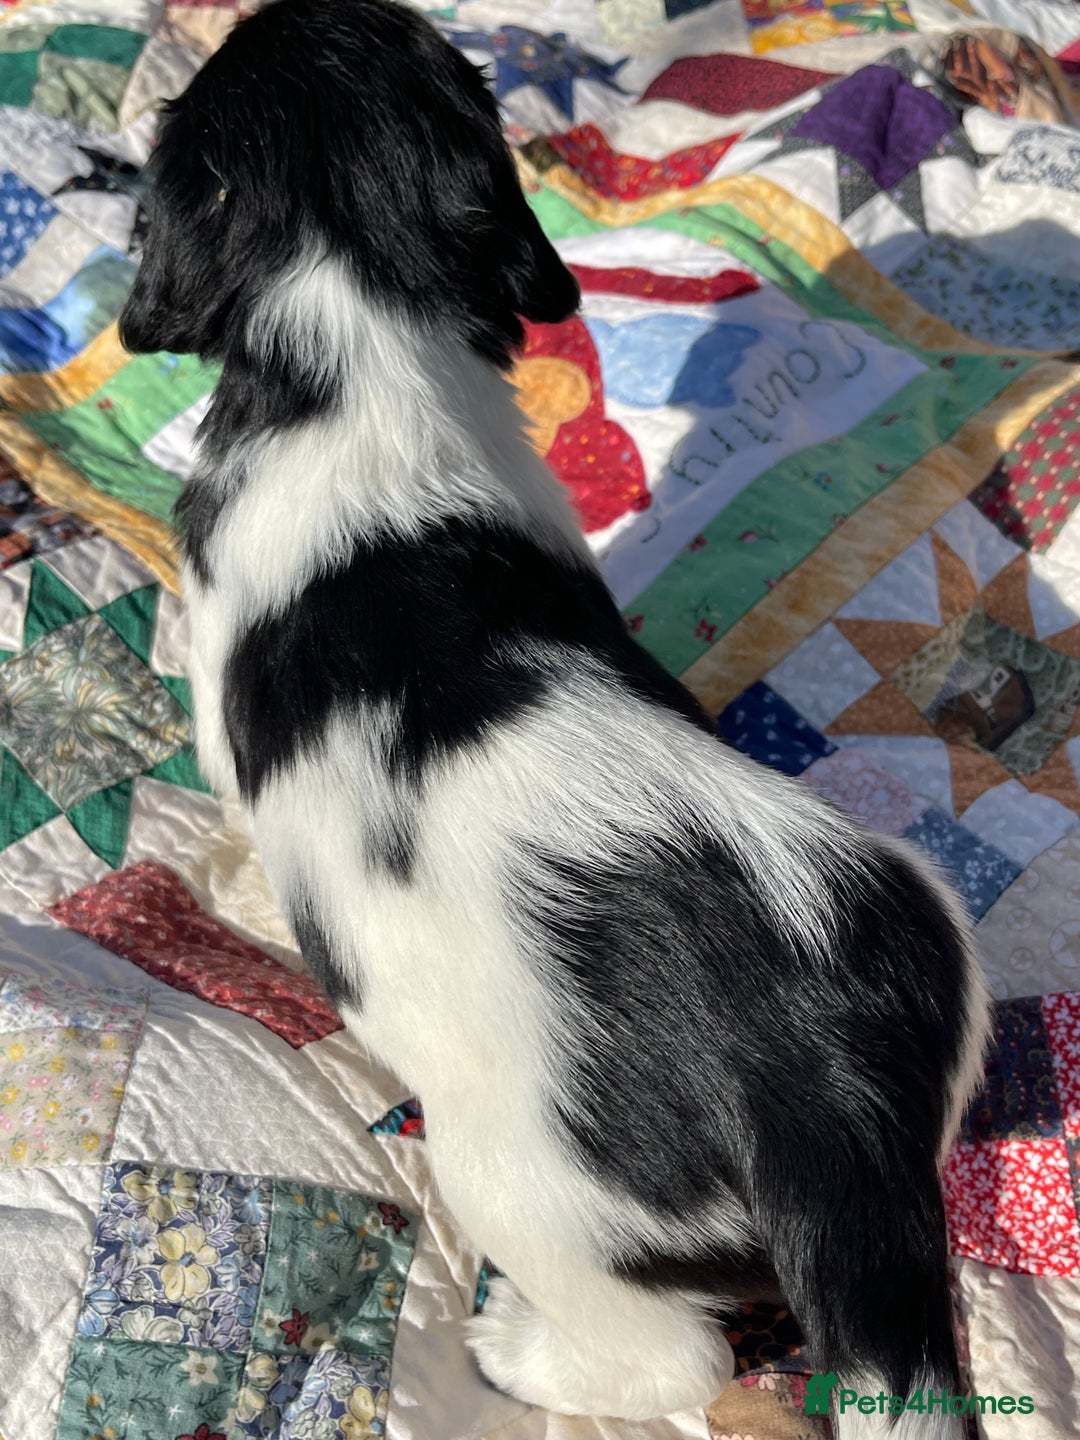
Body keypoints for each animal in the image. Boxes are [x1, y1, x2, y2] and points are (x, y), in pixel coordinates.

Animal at [119, 1, 991, 1432]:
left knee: (674, 1357)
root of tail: (833, 1093)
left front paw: (232, 885)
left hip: (522, 1179)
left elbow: (239, 816)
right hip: (926, 935)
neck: (363, 350)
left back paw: (518, 1351)